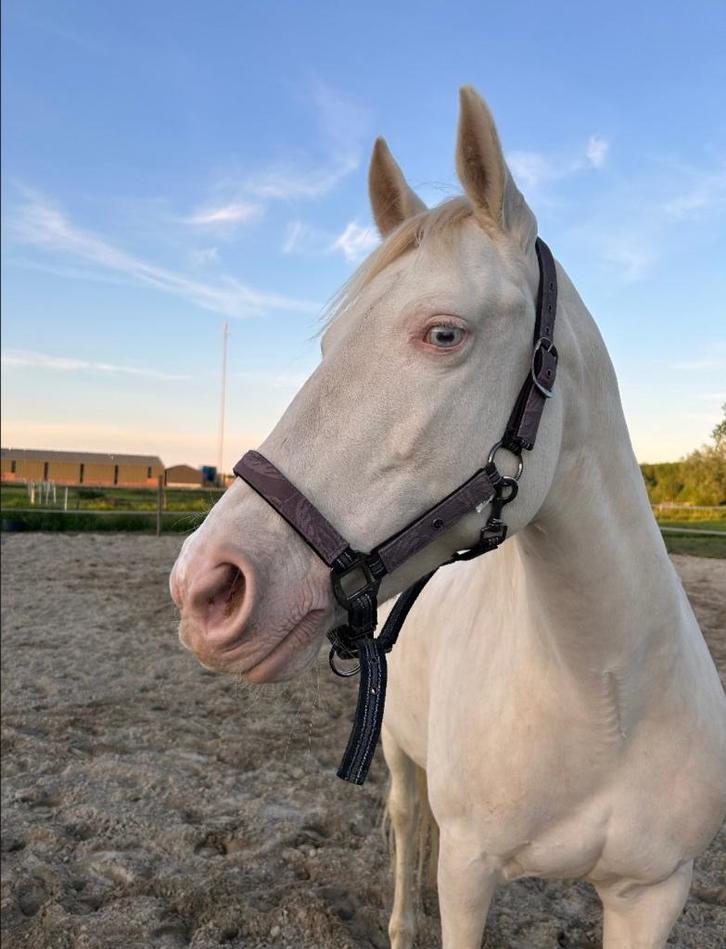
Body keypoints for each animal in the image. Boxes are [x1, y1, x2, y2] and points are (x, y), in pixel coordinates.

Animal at [170, 86, 726, 948]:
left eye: (443, 333)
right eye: (329, 344)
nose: (205, 586)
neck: (605, 697)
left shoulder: (653, 892)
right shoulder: (470, 871)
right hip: (399, 752)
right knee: (408, 819)